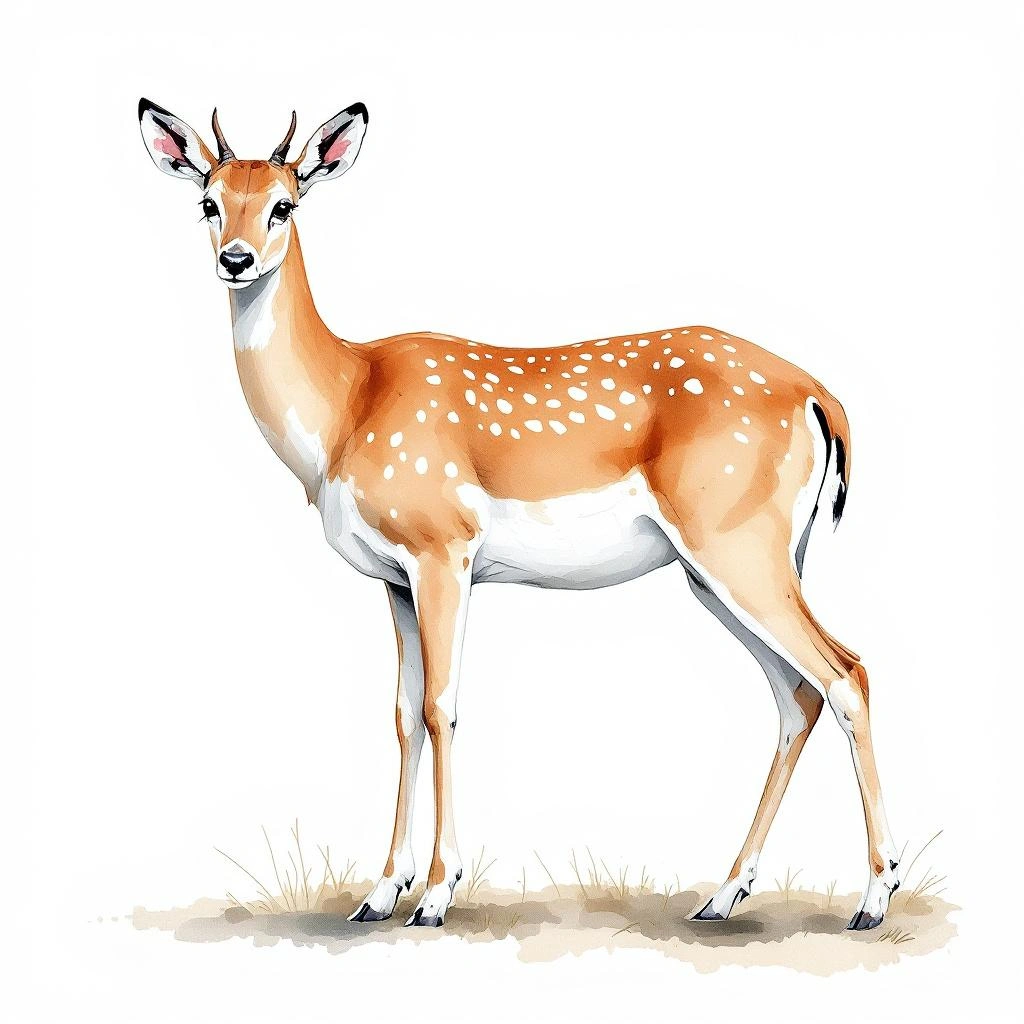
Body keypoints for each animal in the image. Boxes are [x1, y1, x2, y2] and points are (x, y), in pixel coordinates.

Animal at [138, 98, 900, 931]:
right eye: (208, 202)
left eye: (285, 204)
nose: (236, 258)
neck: (346, 406)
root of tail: (821, 399)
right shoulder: (394, 577)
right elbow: (401, 714)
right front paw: (380, 892)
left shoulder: (444, 548)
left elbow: (440, 706)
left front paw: (437, 894)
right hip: (729, 565)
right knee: (797, 694)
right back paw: (724, 895)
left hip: (737, 545)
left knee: (847, 672)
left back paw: (874, 897)